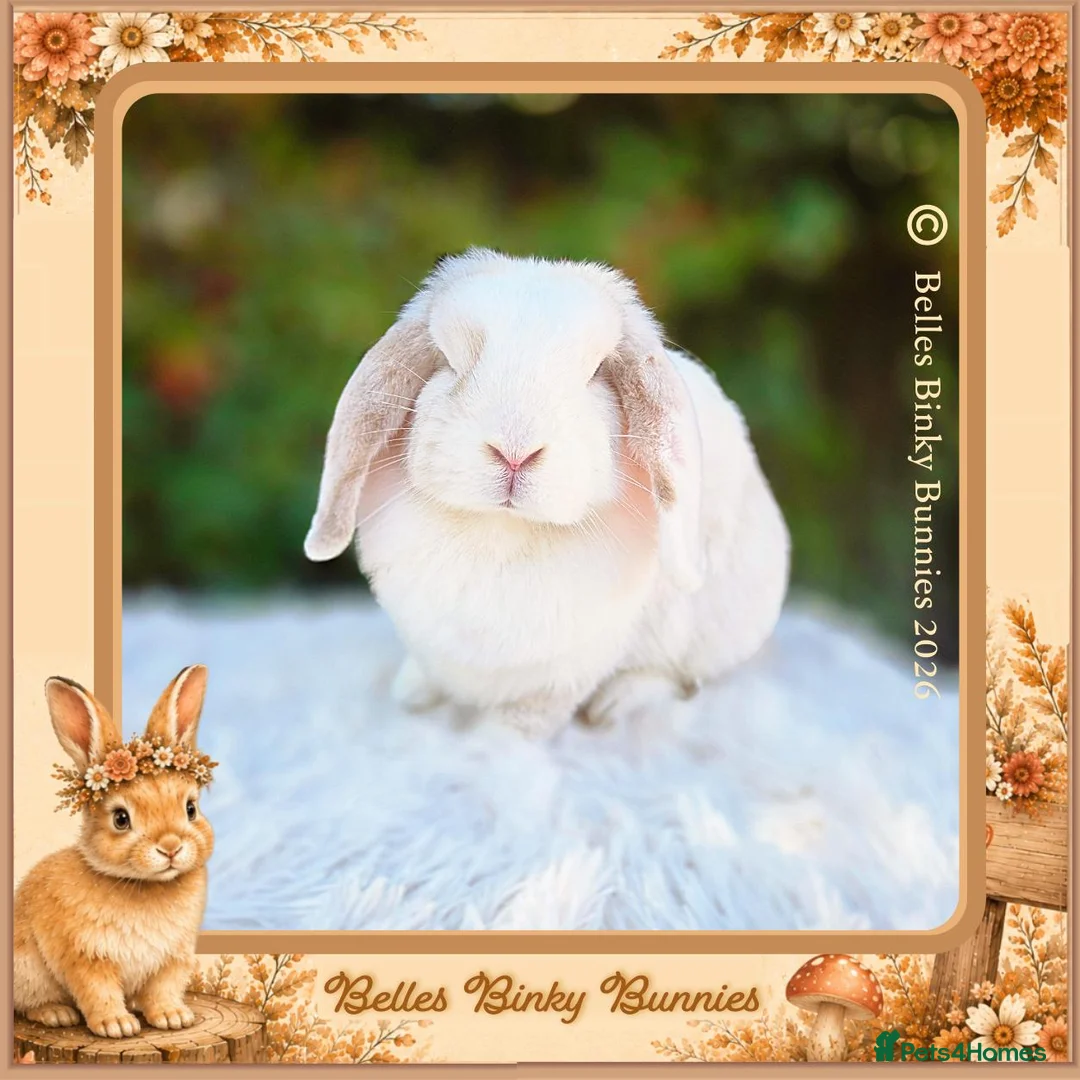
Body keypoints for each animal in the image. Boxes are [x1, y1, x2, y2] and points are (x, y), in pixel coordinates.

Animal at [13, 666, 214, 1038]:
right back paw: (56, 1014)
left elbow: (163, 990)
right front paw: (116, 1026)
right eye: (121, 819)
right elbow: (99, 991)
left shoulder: (172, 959)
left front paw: (173, 1018)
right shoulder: (86, 957)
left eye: (191, 809)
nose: (170, 847)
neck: (143, 886)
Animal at [306, 248, 789, 737]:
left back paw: (616, 704)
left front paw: (495, 741)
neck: (502, 530)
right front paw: (414, 697)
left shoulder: (561, 673)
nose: (514, 453)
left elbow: (528, 715)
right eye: (448, 360)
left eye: (597, 372)